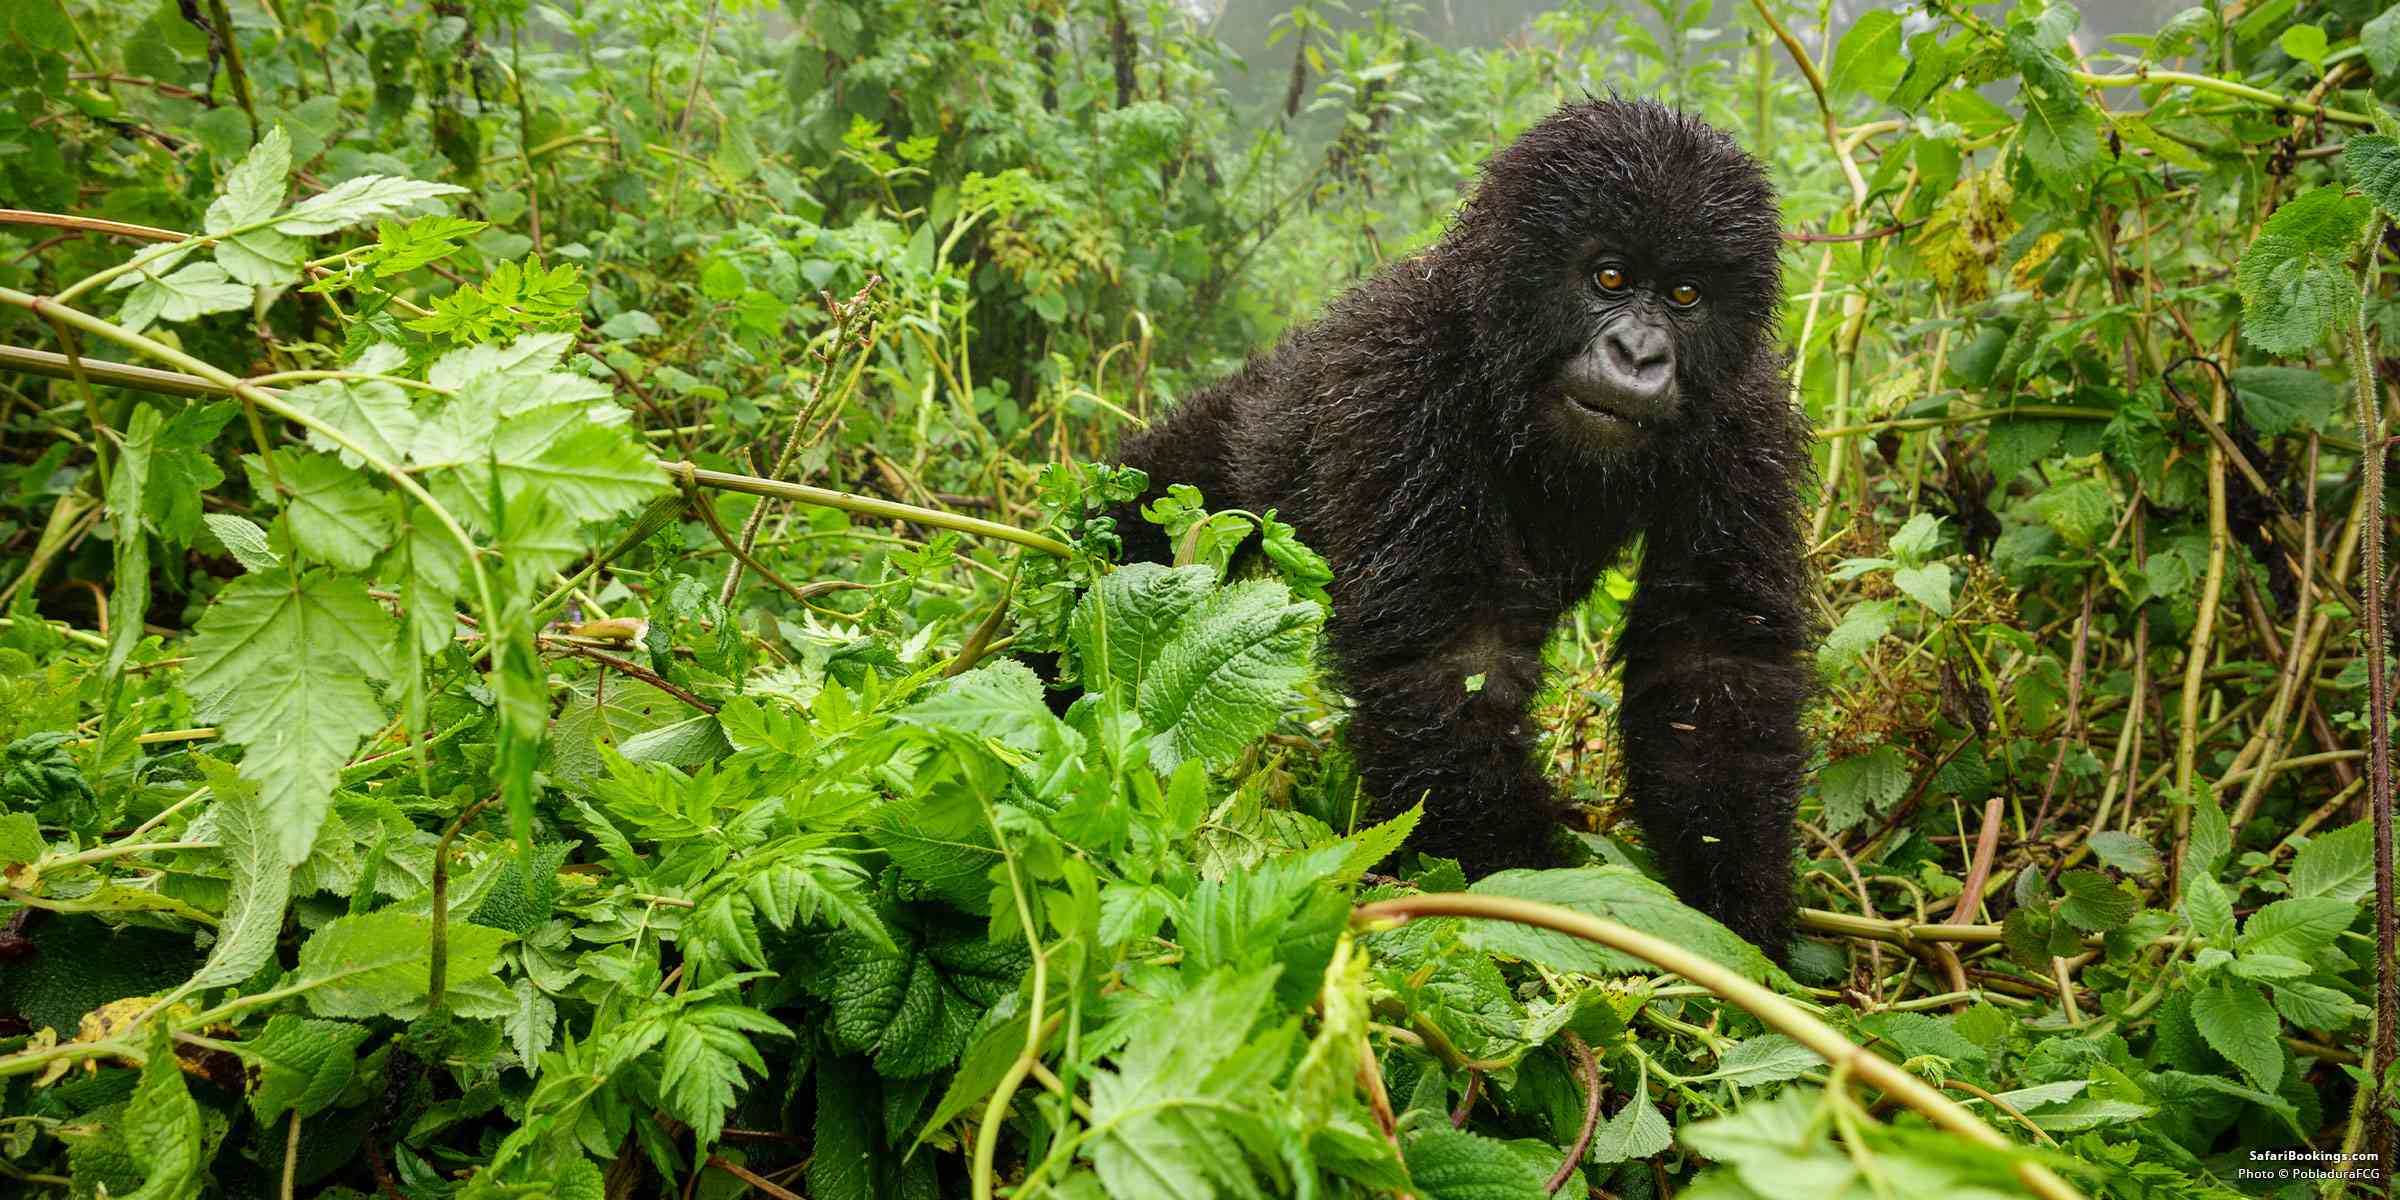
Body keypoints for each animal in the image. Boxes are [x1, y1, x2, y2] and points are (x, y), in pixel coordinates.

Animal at [1103, 99, 1813, 956]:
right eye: (1609, 277)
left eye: (1684, 295)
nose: (1640, 353)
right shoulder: (1397, 375)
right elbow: (1456, 666)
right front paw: (1537, 898)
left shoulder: (1745, 418)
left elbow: (1710, 660)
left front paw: (1733, 913)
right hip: (1208, 477)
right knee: (1131, 534)